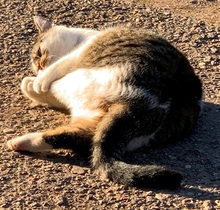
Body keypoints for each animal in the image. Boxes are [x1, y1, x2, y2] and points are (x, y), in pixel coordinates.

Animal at [6, 16, 203, 190]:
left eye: (38, 53)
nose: (38, 67)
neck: (84, 36)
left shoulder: (78, 53)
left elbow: (57, 67)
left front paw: (39, 80)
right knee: (77, 138)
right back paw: (21, 142)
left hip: (78, 79)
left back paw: (29, 91)